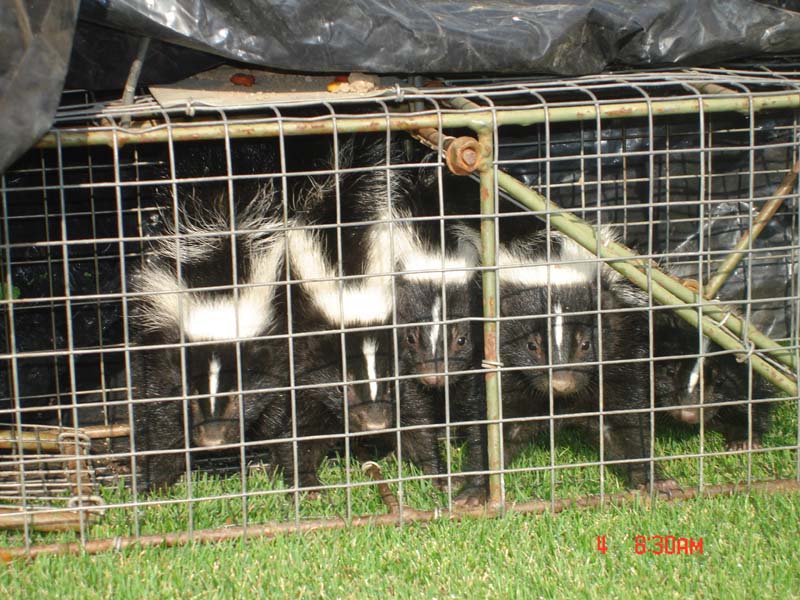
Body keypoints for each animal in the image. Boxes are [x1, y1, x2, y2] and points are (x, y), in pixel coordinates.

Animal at [490, 227, 672, 490]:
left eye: (586, 344)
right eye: (531, 346)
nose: (561, 383)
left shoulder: (621, 353)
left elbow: (624, 422)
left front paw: (651, 481)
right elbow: (502, 425)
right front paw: (478, 488)